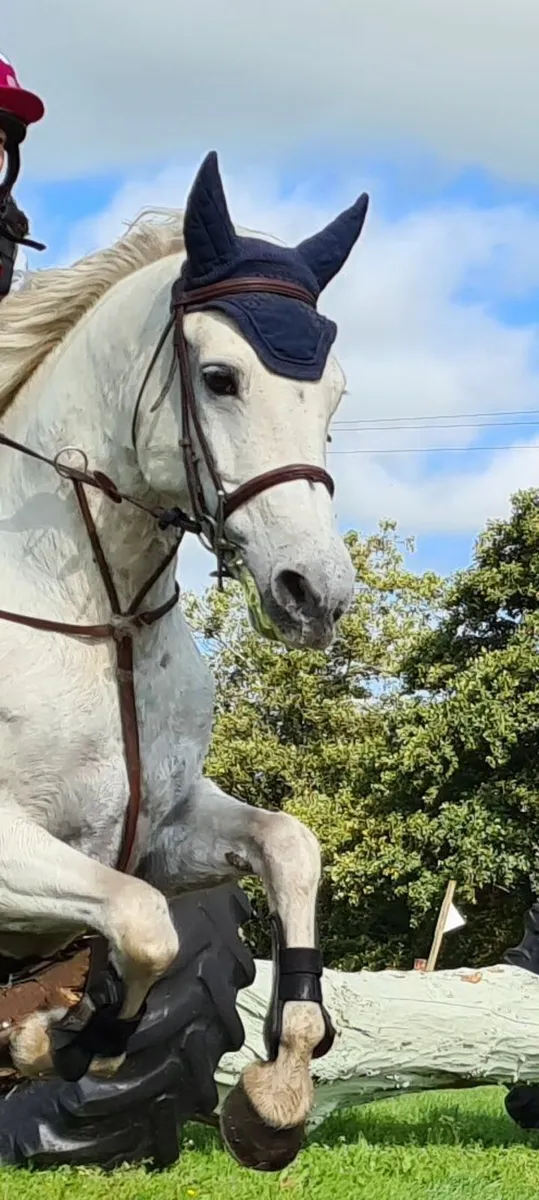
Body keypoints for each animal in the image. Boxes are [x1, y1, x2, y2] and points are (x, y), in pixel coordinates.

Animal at [0, 151, 368, 1171]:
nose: (315, 593)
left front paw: (276, 1094)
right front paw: (57, 1036)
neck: (103, 617)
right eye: (219, 377)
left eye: (333, 395)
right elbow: (139, 923)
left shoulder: (160, 833)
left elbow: (282, 851)